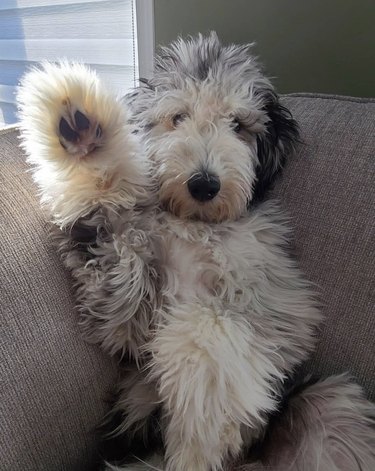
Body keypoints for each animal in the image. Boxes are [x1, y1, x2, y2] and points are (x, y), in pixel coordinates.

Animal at [17, 31, 375, 470]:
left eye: (238, 125)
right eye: (178, 117)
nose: (204, 185)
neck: (197, 229)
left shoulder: (270, 314)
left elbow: (210, 325)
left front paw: (196, 444)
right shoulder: (125, 311)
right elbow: (107, 221)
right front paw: (82, 139)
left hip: (331, 408)